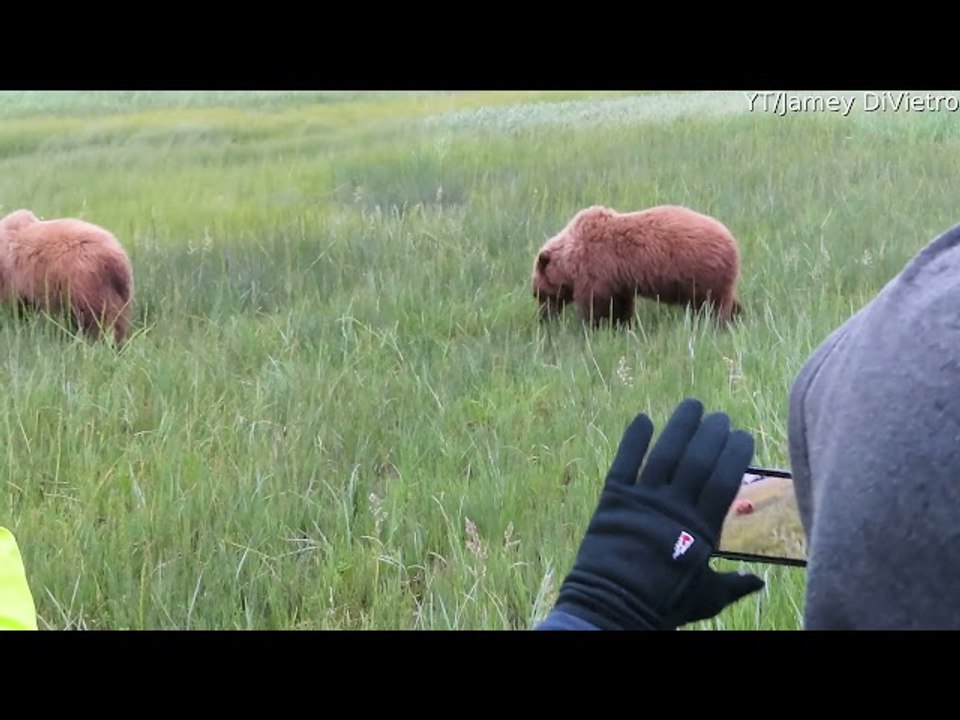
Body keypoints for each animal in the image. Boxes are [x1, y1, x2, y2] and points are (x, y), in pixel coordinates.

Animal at [531, 204, 743, 328]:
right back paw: (737, 315)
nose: (543, 318)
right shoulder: (617, 278)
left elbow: (598, 304)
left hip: (701, 272)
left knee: (713, 304)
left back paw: (717, 323)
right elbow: (620, 304)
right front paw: (621, 325)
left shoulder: (597, 269)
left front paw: (595, 325)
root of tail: (732, 241)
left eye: (539, 294)